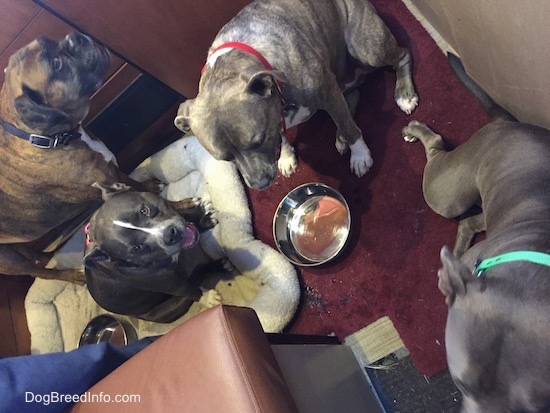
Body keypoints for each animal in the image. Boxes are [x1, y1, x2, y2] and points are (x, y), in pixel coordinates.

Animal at [0, 32, 157, 284]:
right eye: (56, 64)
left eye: (49, 40)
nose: (74, 37)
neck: (50, 139)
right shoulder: (111, 184)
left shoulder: (114, 174)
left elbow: (137, 183)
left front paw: (151, 185)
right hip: (8, 261)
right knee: (40, 273)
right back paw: (73, 276)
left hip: (14, 246)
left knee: (30, 253)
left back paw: (44, 255)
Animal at [82, 183, 224, 322]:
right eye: (137, 248)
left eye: (144, 210)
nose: (169, 234)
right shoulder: (169, 283)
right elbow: (189, 290)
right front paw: (205, 297)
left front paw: (203, 218)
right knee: (193, 279)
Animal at [176, 0, 418, 189]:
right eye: (225, 159)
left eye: (258, 141)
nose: (260, 184)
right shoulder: (274, 114)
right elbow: (283, 135)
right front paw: (286, 156)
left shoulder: (327, 90)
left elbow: (350, 129)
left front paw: (360, 155)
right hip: (344, 78)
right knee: (352, 96)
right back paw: (340, 136)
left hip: (367, 48)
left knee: (402, 56)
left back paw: (404, 95)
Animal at [404, 54, 550, 412]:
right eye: (459, 383)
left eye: (536, 409)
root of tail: (507, 124)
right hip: (449, 193)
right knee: (437, 149)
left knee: (468, 222)